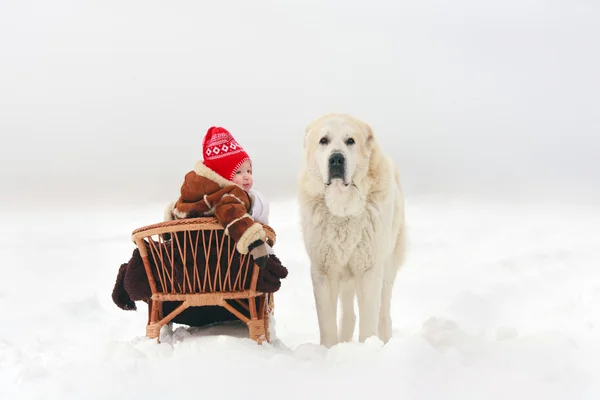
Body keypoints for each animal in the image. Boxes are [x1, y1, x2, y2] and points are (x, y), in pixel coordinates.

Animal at [298, 111, 406, 346]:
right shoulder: (324, 271)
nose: (337, 159)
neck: (343, 208)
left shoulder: (369, 270)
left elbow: (369, 321)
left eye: (350, 141)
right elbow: (327, 324)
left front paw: (367, 348)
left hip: (387, 268)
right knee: (348, 315)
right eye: (324, 140)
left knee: (383, 314)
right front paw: (329, 350)